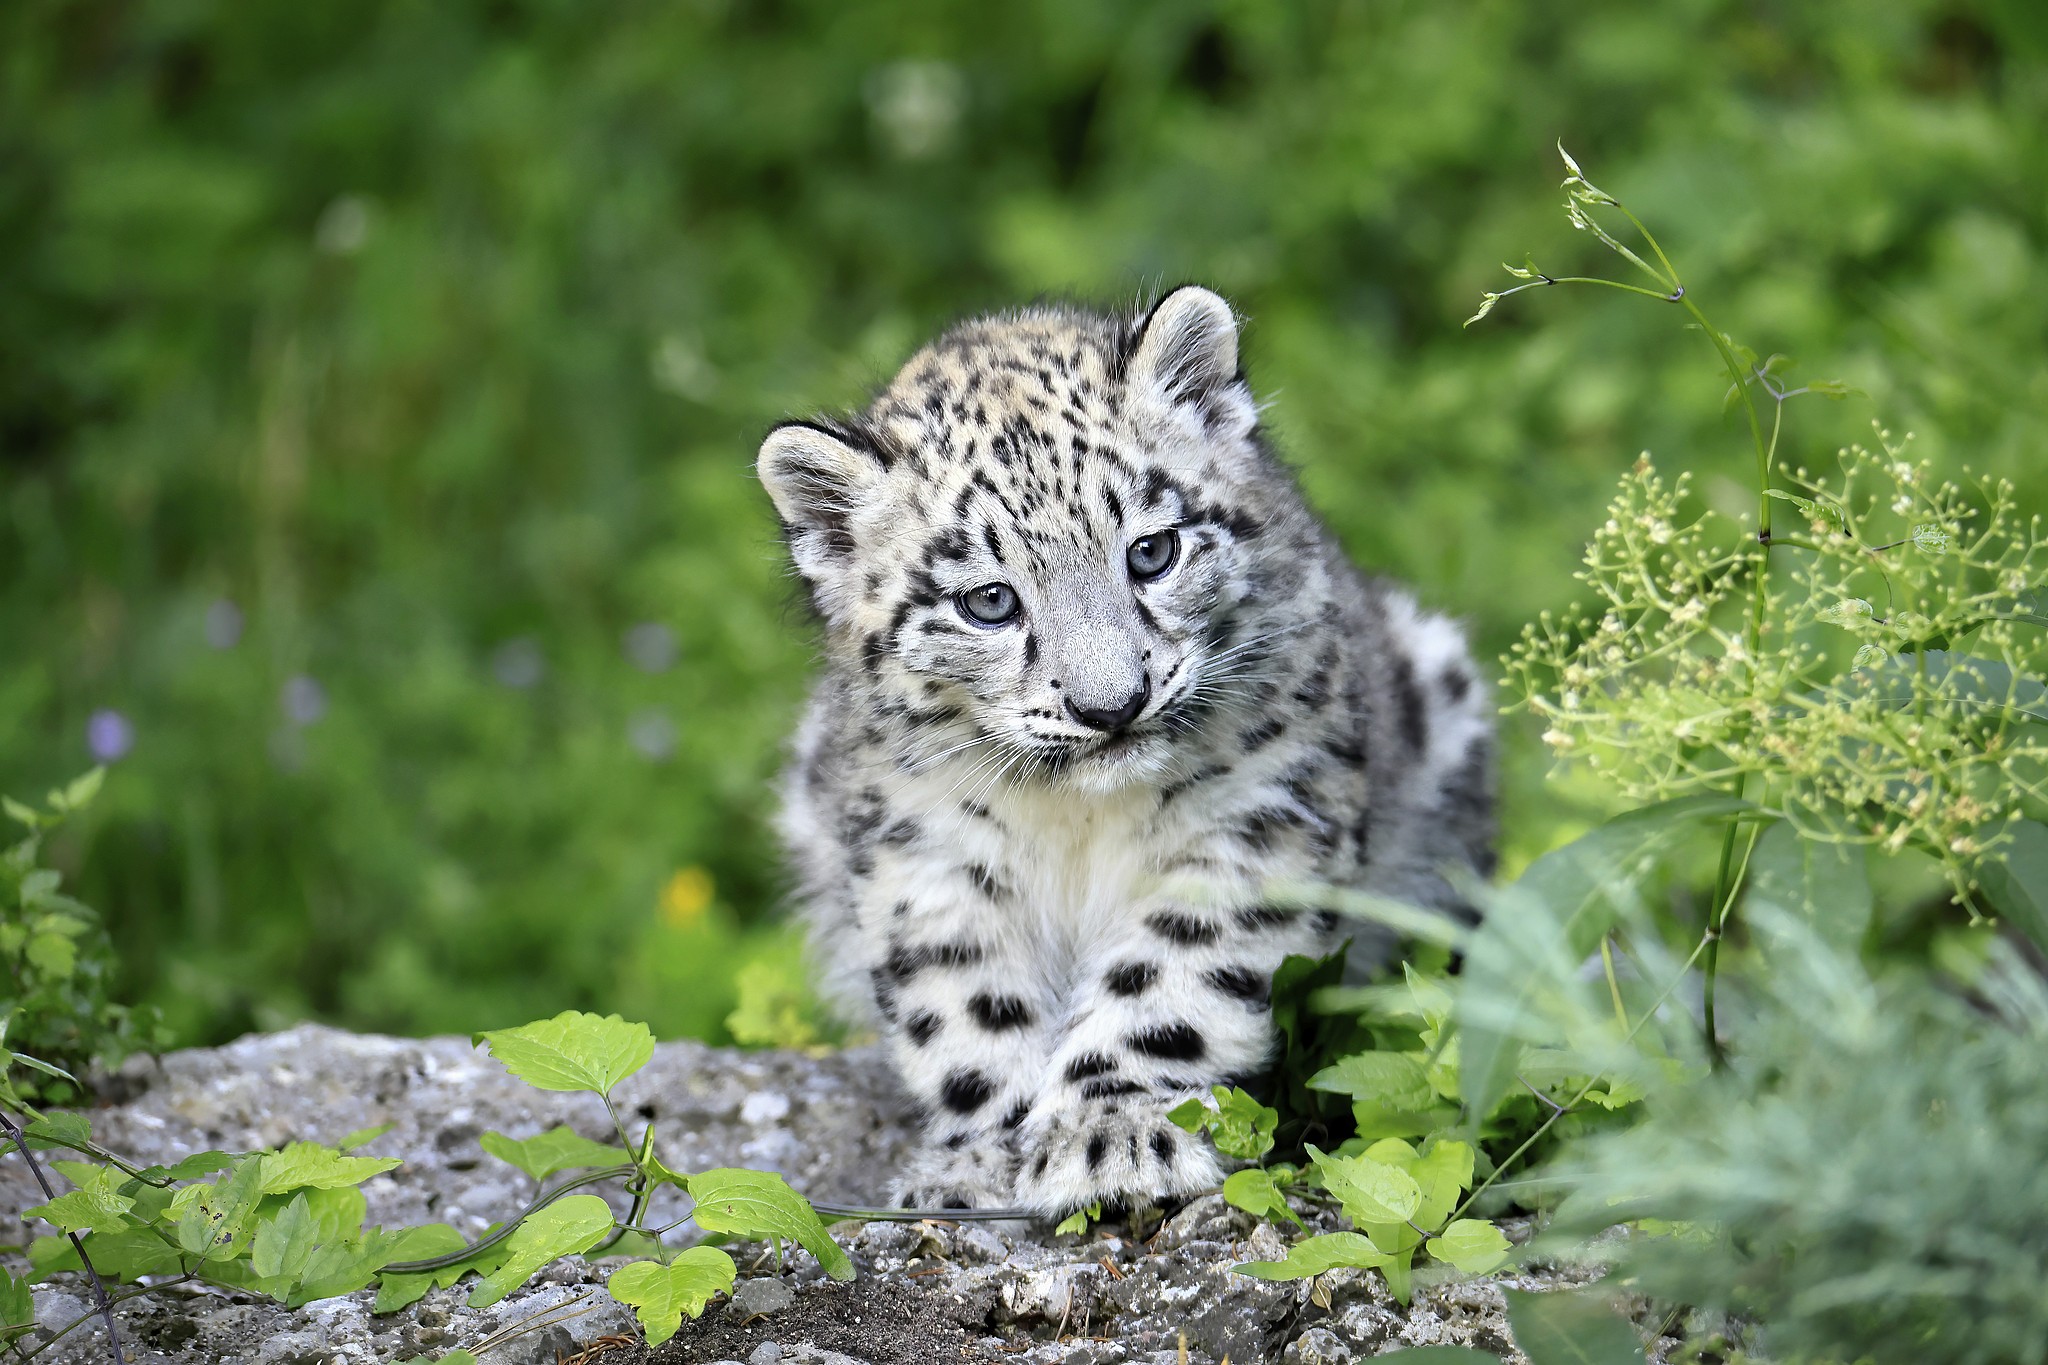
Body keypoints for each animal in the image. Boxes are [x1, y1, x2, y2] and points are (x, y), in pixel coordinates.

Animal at [755, 286, 1494, 1217]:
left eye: (1152, 550)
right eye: (989, 601)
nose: (1110, 704)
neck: (1078, 818)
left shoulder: (1257, 814)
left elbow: (1170, 973)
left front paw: (1110, 1135)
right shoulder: (926, 850)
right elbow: (967, 1008)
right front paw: (978, 1164)